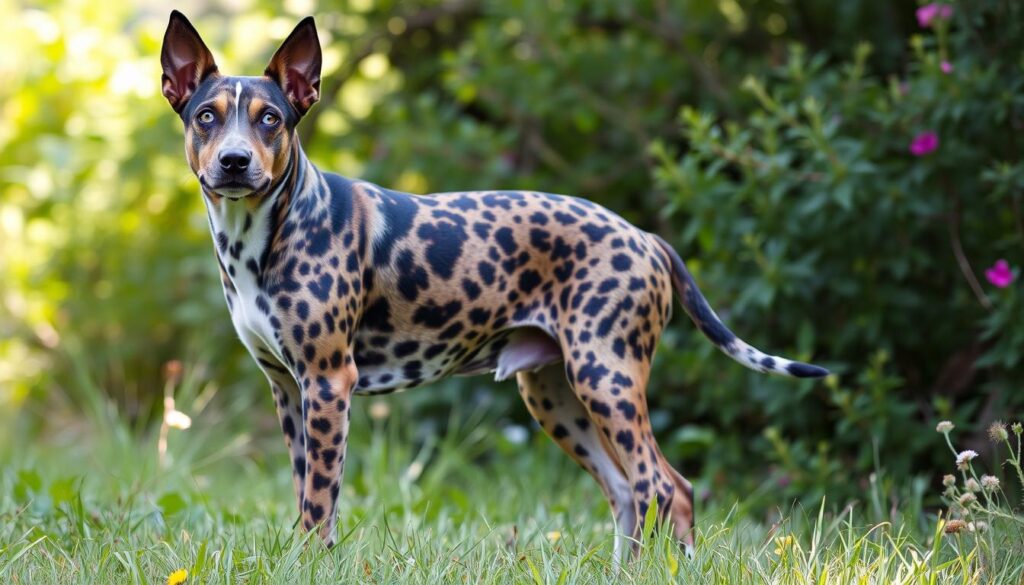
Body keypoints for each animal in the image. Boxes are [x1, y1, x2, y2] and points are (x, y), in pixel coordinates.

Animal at [161, 8, 831, 557]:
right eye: (205, 117)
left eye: (271, 119)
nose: (235, 162)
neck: (261, 237)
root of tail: (645, 237)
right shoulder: (286, 388)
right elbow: (307, 495)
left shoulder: (327, 384)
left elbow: (319, 505)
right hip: (557, 396)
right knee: (626, 493)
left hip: (607, 378)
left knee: (668, 487)